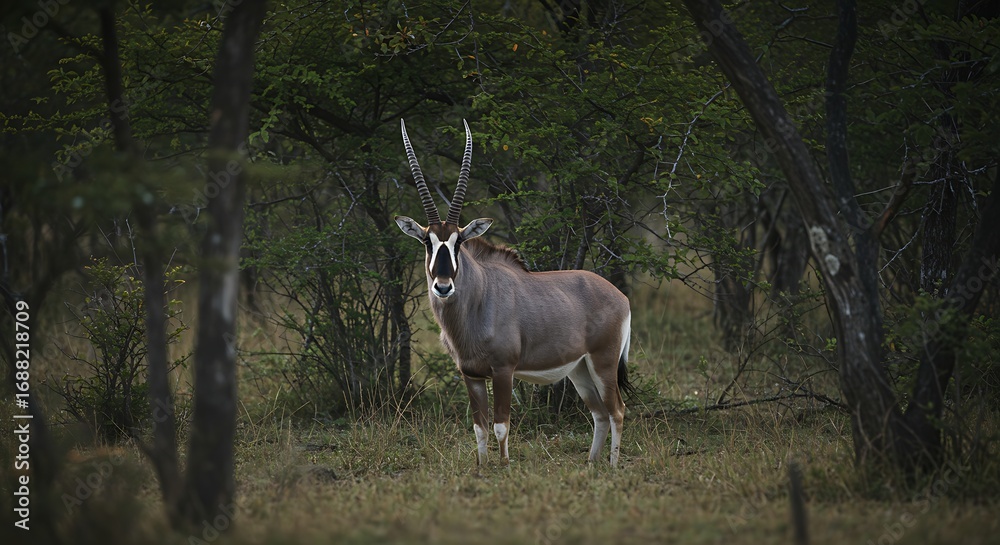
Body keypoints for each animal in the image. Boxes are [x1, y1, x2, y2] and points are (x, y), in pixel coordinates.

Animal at [394, 119, 633, 467]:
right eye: (428, 241)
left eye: (458, 241)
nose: (443, 286)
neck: (478, 300)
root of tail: (621, 297)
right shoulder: (471, 374)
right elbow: (479, 428)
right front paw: (482, 467)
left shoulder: (503, 370)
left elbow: (500, 426)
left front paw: (505, 467)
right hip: (580, 370)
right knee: (600, 414)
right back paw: (591, 464)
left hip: (603, 363)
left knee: (617, 410)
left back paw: (612, 466)